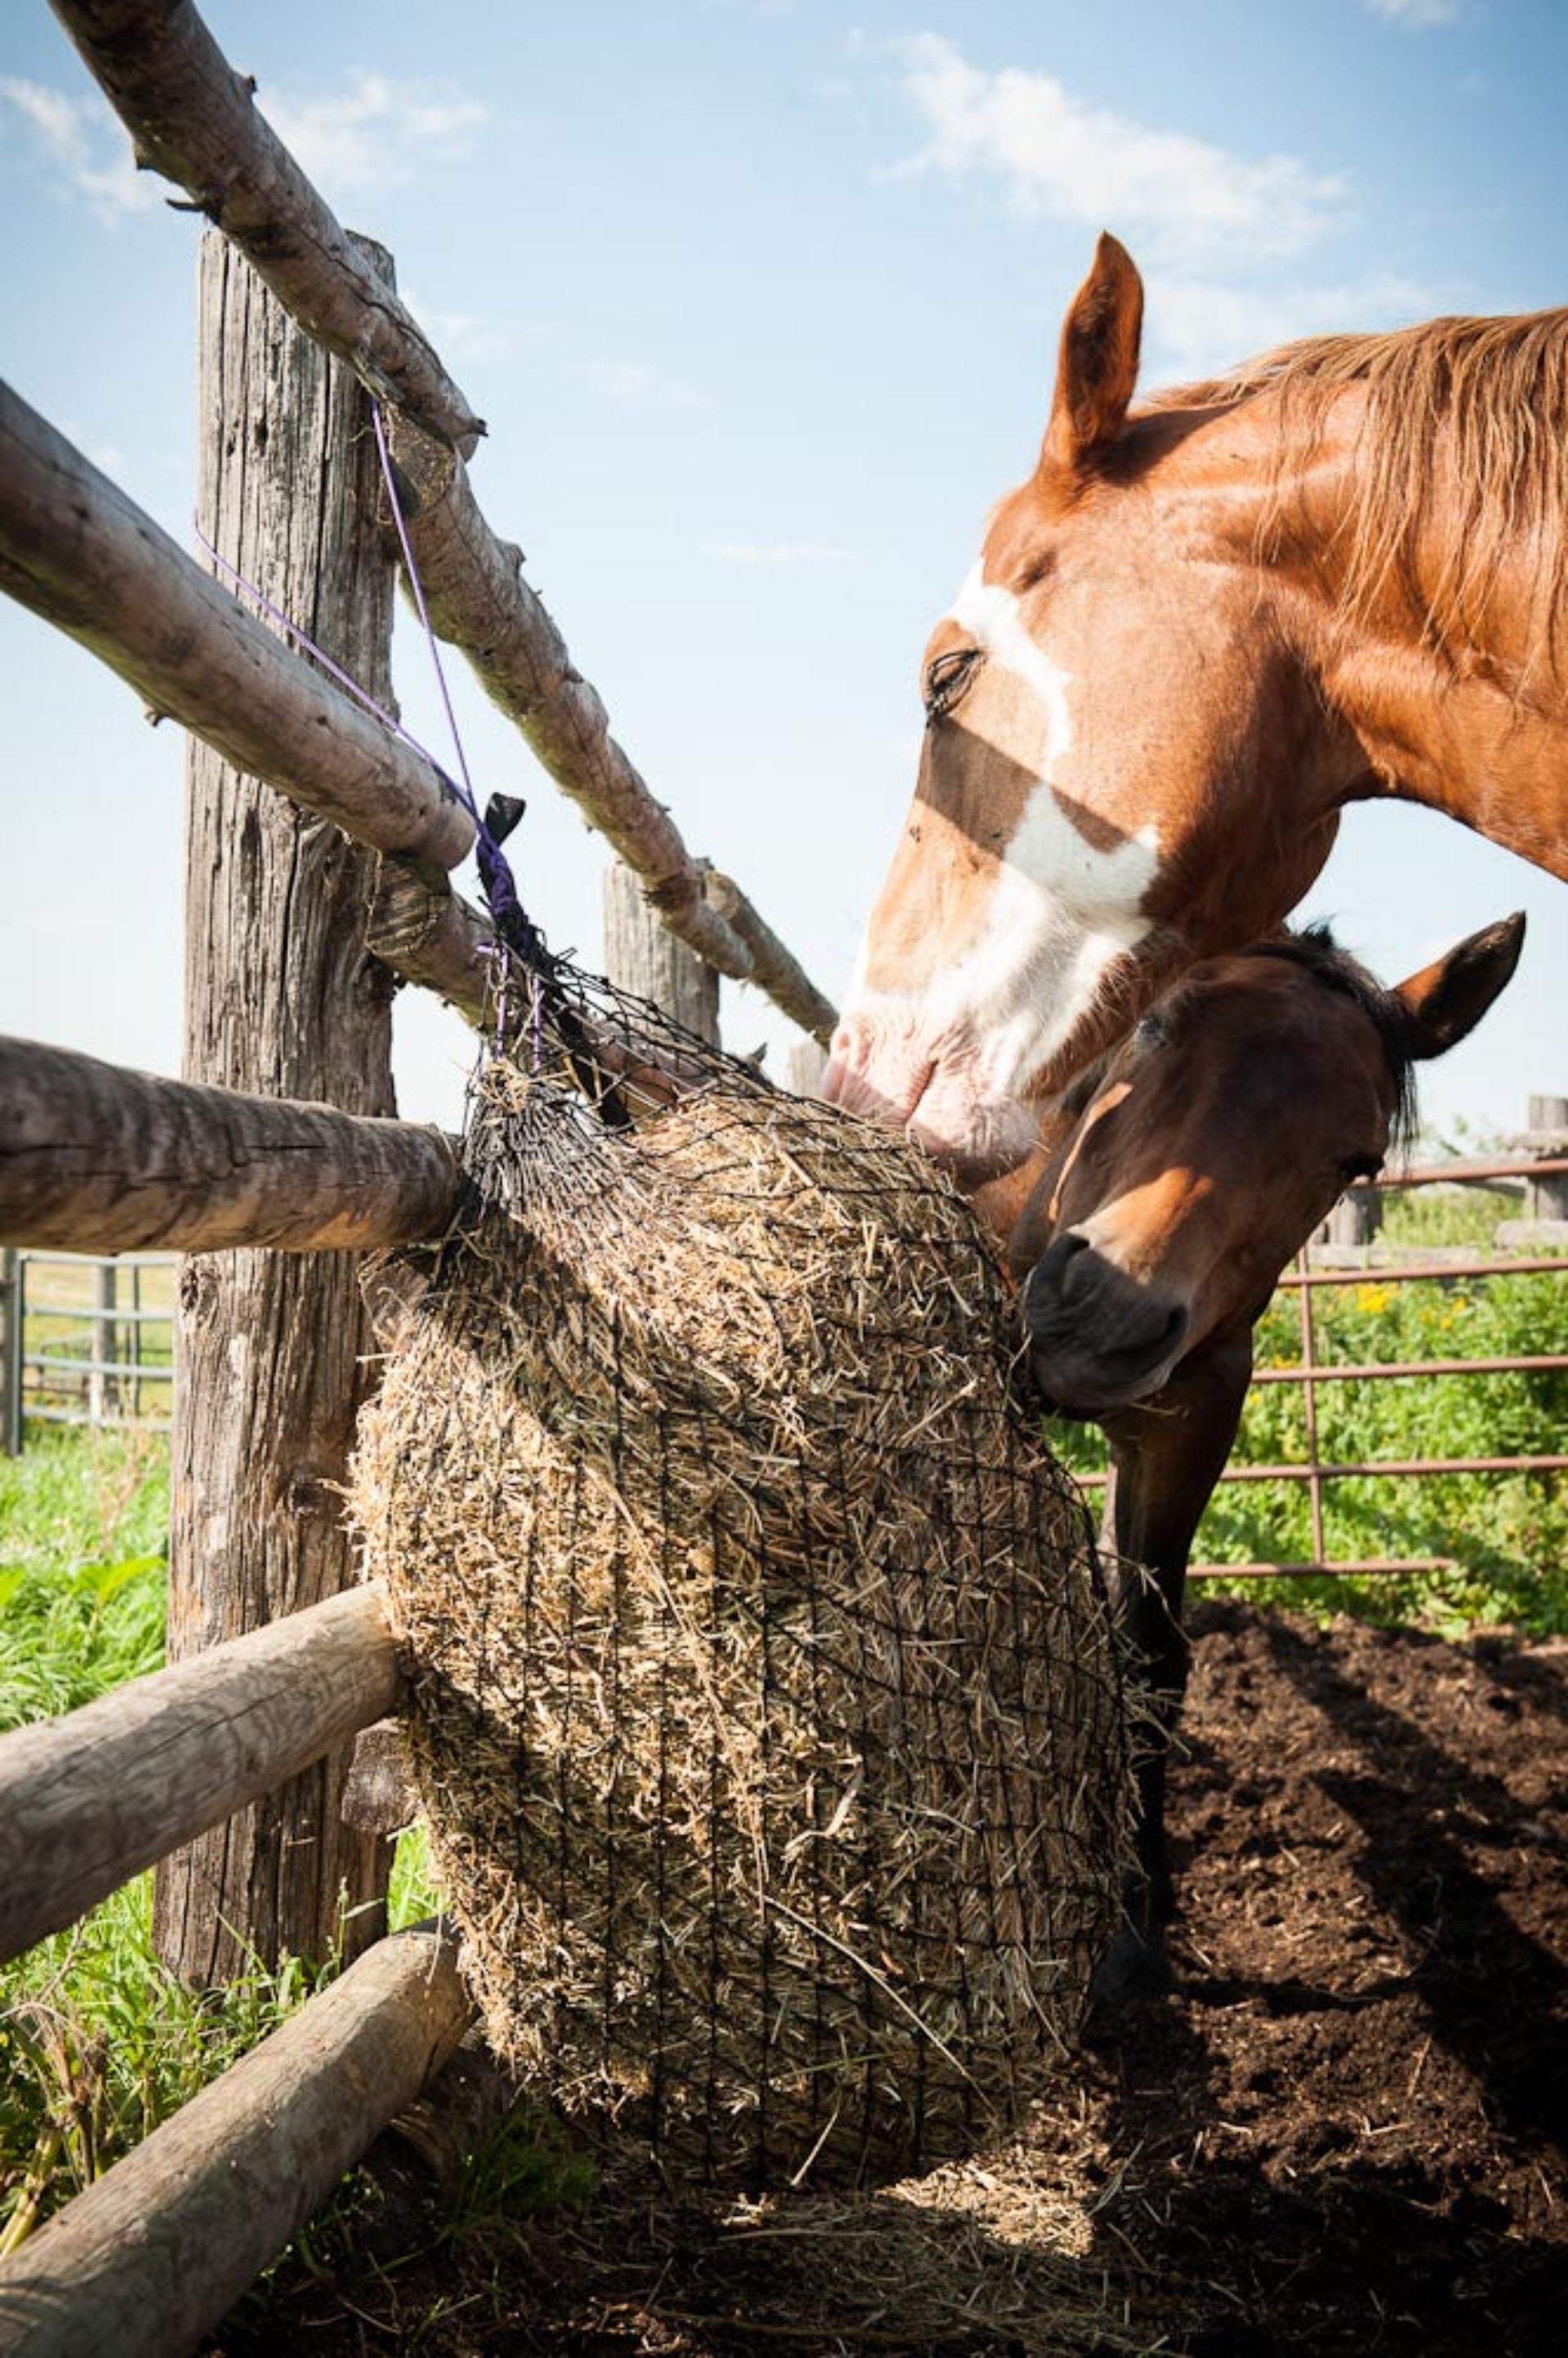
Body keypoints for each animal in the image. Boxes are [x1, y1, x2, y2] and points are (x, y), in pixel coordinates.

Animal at [1009, 910, 1518, 1999]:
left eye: (1356, 1161)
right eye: (1154, 1026)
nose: (1104, 1317)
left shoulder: (1191, 1428)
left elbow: (1150, 1657)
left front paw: (1138, 1910)